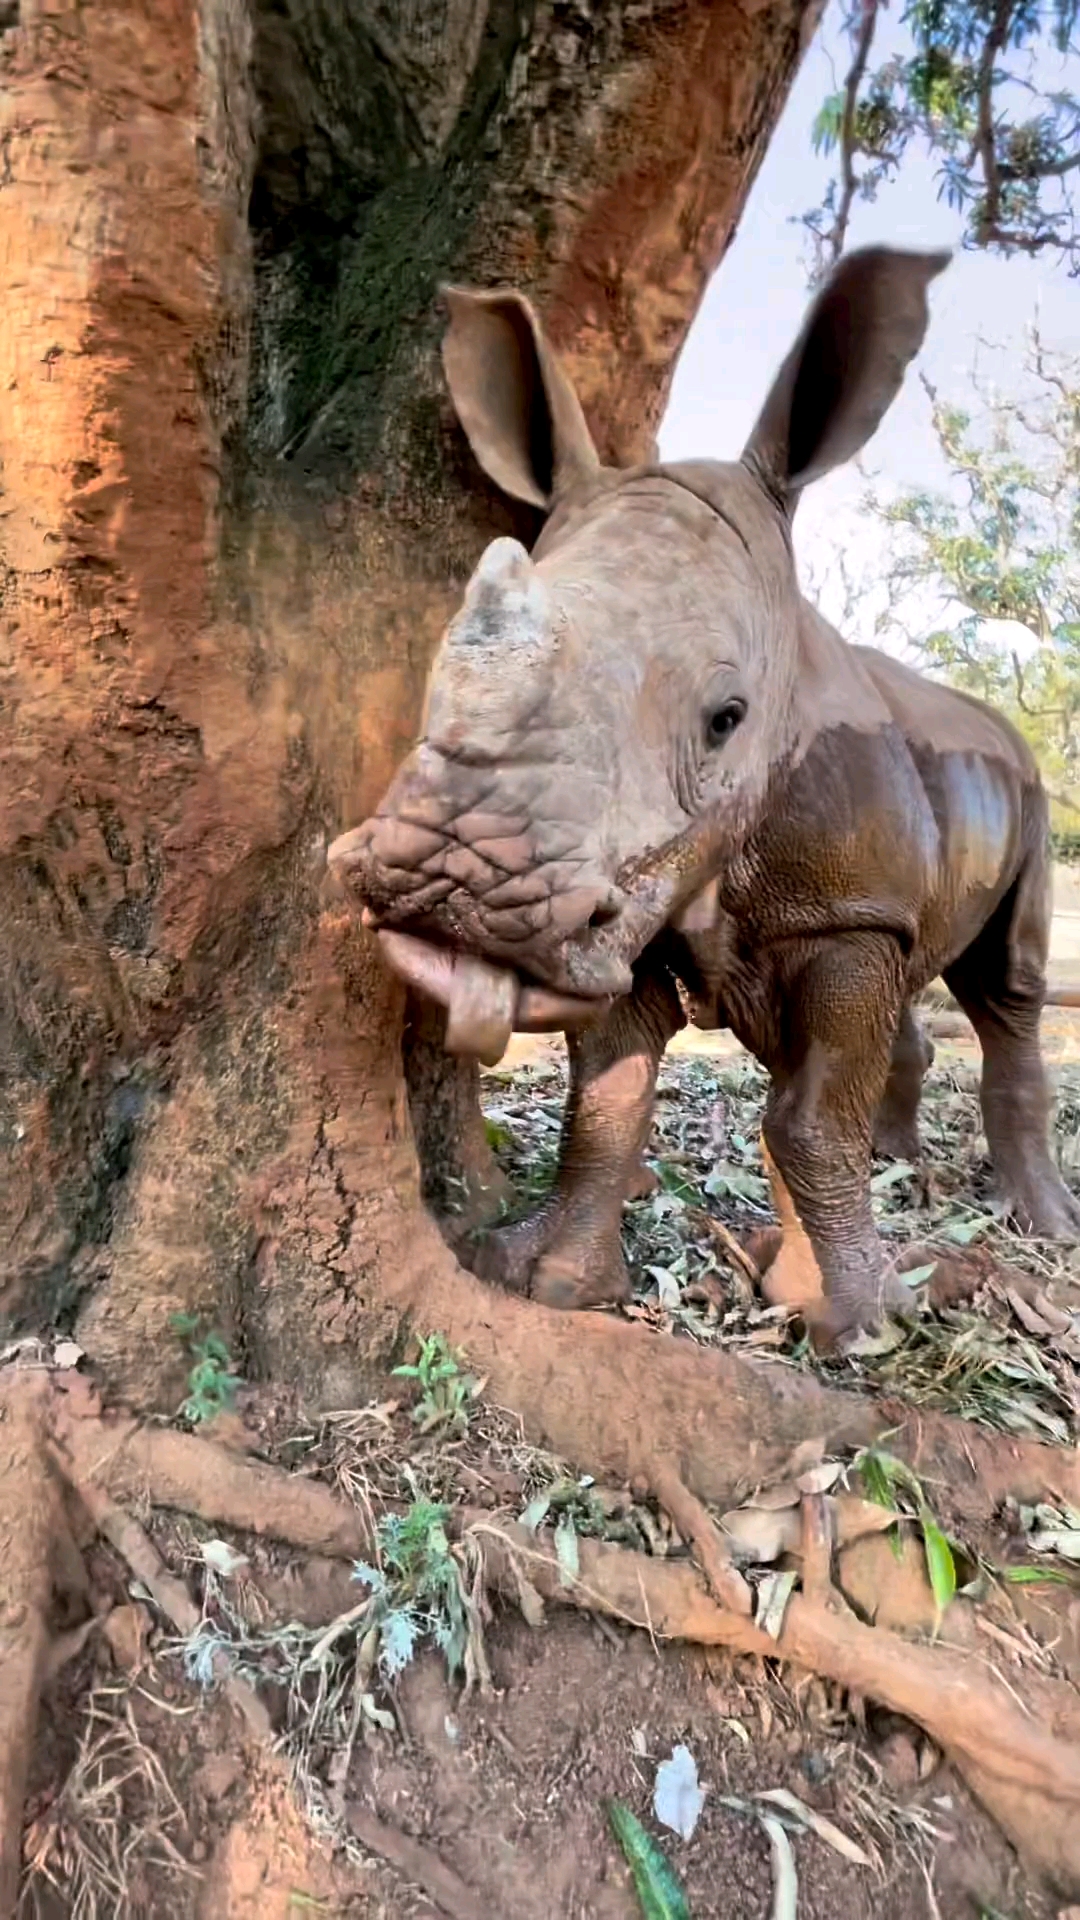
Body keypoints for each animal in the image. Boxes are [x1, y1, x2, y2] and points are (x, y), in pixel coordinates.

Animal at [330, 243, 1076, 1351]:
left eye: (728, 717)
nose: (450, 888)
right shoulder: (635, 891)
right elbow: (609, 1102)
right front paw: (548, 1280)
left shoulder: (841, 911)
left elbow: (807, 1119)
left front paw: (856, 1324)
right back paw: (898, 1165)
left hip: (1024, 789)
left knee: (1004, 991)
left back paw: (1038, 1223)